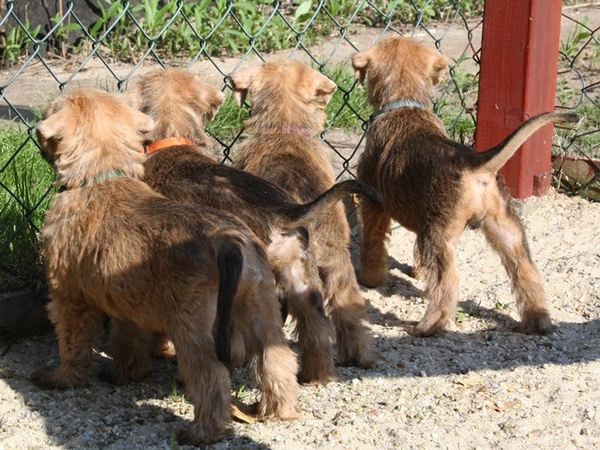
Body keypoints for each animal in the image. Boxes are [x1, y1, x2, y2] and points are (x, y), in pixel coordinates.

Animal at [31, 88, 298, 446]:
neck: (101, 178)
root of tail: (228, 240)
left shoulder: (69, 299)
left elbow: (73, 346)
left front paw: (61, 378)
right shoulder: (127, 302)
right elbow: (127, 341)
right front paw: (125, 373)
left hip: (193, 328)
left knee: (211, 377)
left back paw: (201, 432)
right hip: (260, 308)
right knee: (276, 360)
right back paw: (279, 410)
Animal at [350, 37, 580, 336]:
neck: (405, 103)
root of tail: (477, 164)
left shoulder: (373, 204)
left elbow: (372, 244)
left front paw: (370, 278)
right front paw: (418, 272)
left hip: (439, 236)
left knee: (448, 283)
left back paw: (426, 327)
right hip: (506, 230)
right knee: (526, 272)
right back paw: (537, 321)